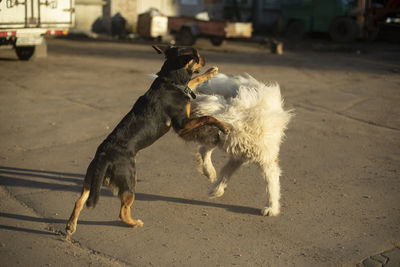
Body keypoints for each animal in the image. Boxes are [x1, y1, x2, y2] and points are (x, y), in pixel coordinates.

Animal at [65, 45, 228, 236]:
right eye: (197, 56)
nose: (205, 59)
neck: (170, 82)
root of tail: (104, 156)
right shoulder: (182, 124)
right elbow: (208, 117)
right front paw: (224, 126)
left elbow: (195, 80)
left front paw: (211, 72)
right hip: (129, 181)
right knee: (122, 211)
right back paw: (134, 223)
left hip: (91, 180)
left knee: (79, 201)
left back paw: (71, 225)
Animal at [183, 74, 292, 218]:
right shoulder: (237, 152)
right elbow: (225, 171)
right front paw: (217, 189)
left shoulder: (261, 158)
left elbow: (271, 183)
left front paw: (271, 207)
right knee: (204, 150)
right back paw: (209, 171)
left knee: (204, 150)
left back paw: (209, 172)